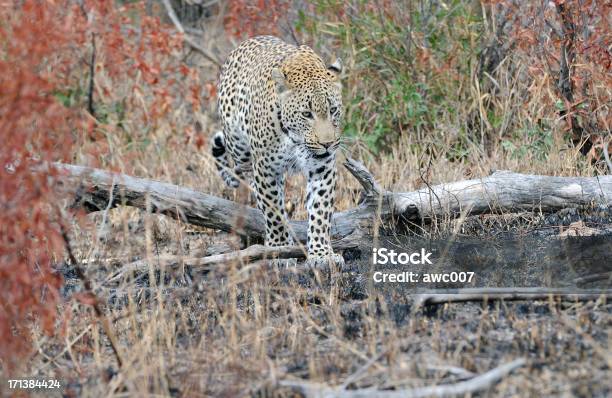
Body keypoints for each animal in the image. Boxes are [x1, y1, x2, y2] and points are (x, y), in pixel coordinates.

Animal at [210, 35, 344, 268]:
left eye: (333, 110)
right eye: (306, 114)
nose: (327, 144)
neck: (296, 140)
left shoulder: (323, 167)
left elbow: (320, 210)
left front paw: (322, 254)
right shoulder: (266, 169)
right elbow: (274, 212)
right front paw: (280, 249)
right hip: (239, 148)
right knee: (245, 174)